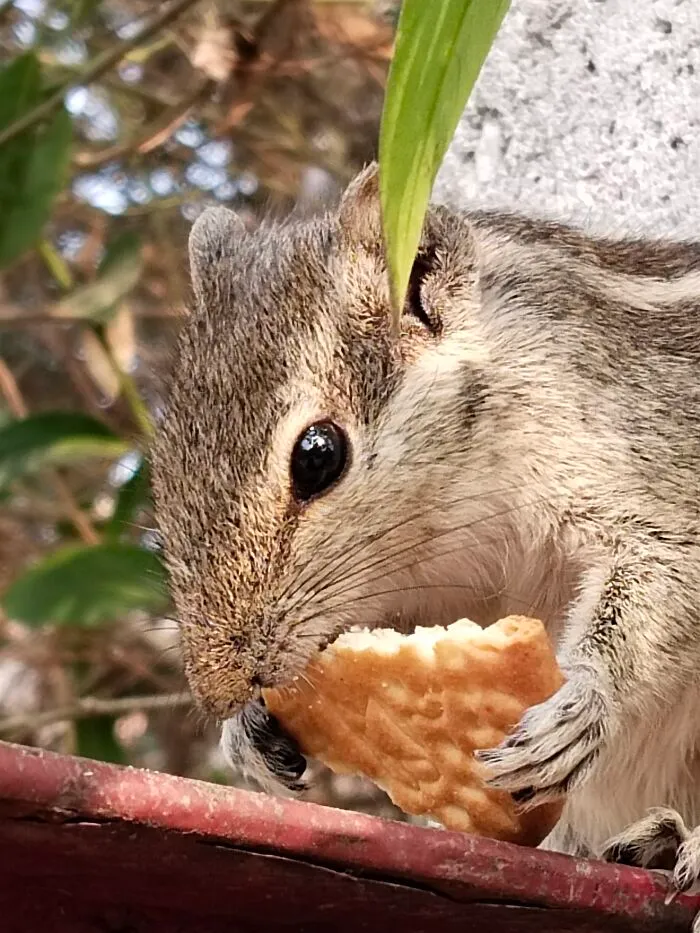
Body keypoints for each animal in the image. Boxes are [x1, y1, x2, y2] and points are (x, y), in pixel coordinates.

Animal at [151, 163, 700, 897]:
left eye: (318, 455)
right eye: (163, 463)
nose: (218, 691)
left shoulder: (654, 468)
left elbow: (663, 576)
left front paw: (583, 702)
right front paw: (248, 731)